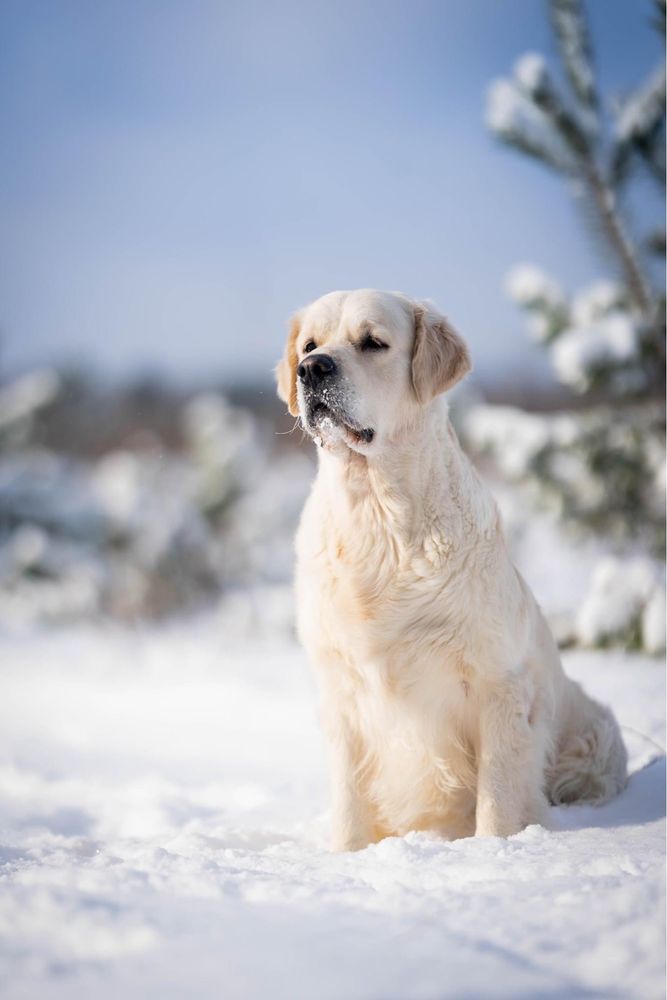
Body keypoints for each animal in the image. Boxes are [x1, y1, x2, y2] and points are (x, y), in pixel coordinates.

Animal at [276, 290, 628, 852]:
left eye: (373, 342)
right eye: (310, 345)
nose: (311, 369)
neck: (378, 514)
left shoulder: (497, 685)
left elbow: (497, 796)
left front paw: (490, 853)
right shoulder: (340, 691)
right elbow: (349, 800)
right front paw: (346, 857)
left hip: (598, 739)